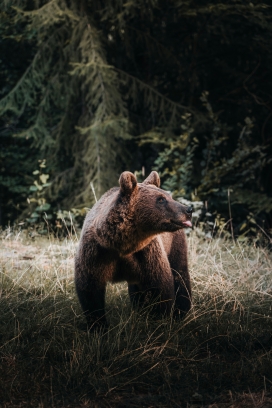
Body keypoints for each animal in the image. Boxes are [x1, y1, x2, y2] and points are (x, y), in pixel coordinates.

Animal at [74, 171, 192, 330]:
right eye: (161, 199)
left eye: (169, 196)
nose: (188, 209)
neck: (122, 245)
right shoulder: (96, 253)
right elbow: (90, 290)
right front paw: (99, 326)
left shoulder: (147, 253)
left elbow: (161, 287)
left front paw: (160, 320)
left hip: (174, 245)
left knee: (180, 273)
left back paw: (183, 311)